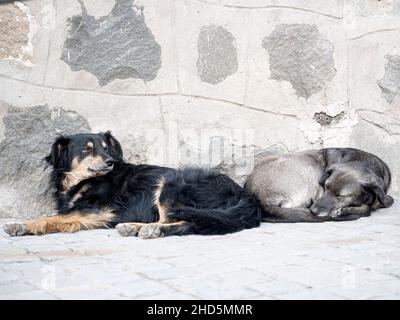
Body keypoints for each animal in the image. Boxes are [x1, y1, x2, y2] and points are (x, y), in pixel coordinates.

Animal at [3, 131, 262, 239]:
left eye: (106, 148)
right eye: (87, 149)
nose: (110, 161)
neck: (84, 180)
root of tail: (245, 195)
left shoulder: (98, 210)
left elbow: (54, 218)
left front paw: (22, 225)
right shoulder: (89, 214)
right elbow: (62, 220)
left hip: (172, 185)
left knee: (185, 222)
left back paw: (149, 230)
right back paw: (135, 227)